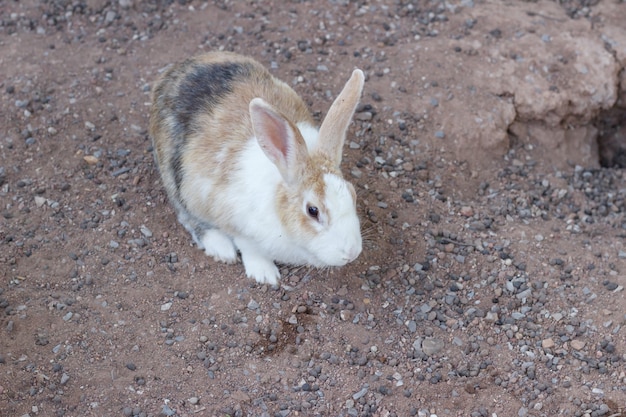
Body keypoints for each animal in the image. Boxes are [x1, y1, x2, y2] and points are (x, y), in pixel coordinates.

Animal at [149, 52, 364, 284]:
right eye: (312, 210)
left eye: (353, 194)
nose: (352, 253)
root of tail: (170, 75)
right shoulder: (236, 223)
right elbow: (250, 248)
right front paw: (265, 274)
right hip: (177, 181)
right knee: (187, 216)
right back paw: (221, 248)